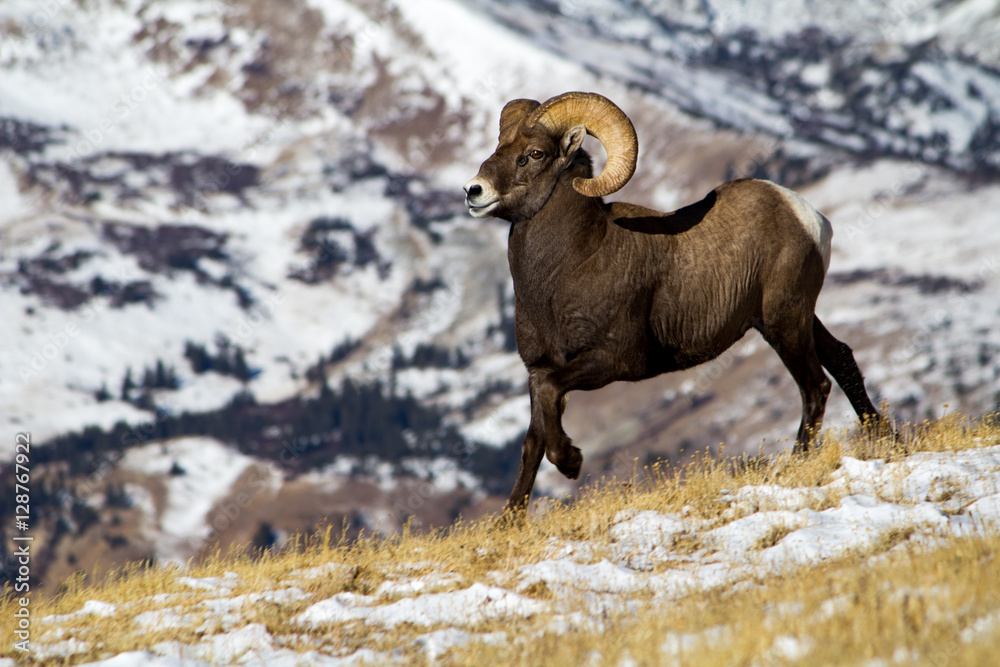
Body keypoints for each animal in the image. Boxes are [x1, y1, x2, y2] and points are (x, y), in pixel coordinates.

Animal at [464, 91, 889, 512]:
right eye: (499, 145)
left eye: (534, 154)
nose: (474, 191)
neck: (570, 264)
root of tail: (808, 217)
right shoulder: (538, 370)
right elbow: (533, 440)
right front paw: (510, 520)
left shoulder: (611, 360)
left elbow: (552, 398)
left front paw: (571, 463)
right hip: (793, 320)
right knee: (842, 360)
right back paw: (885, 438)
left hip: (784, 324)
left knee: (815, 386)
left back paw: (794, 465)